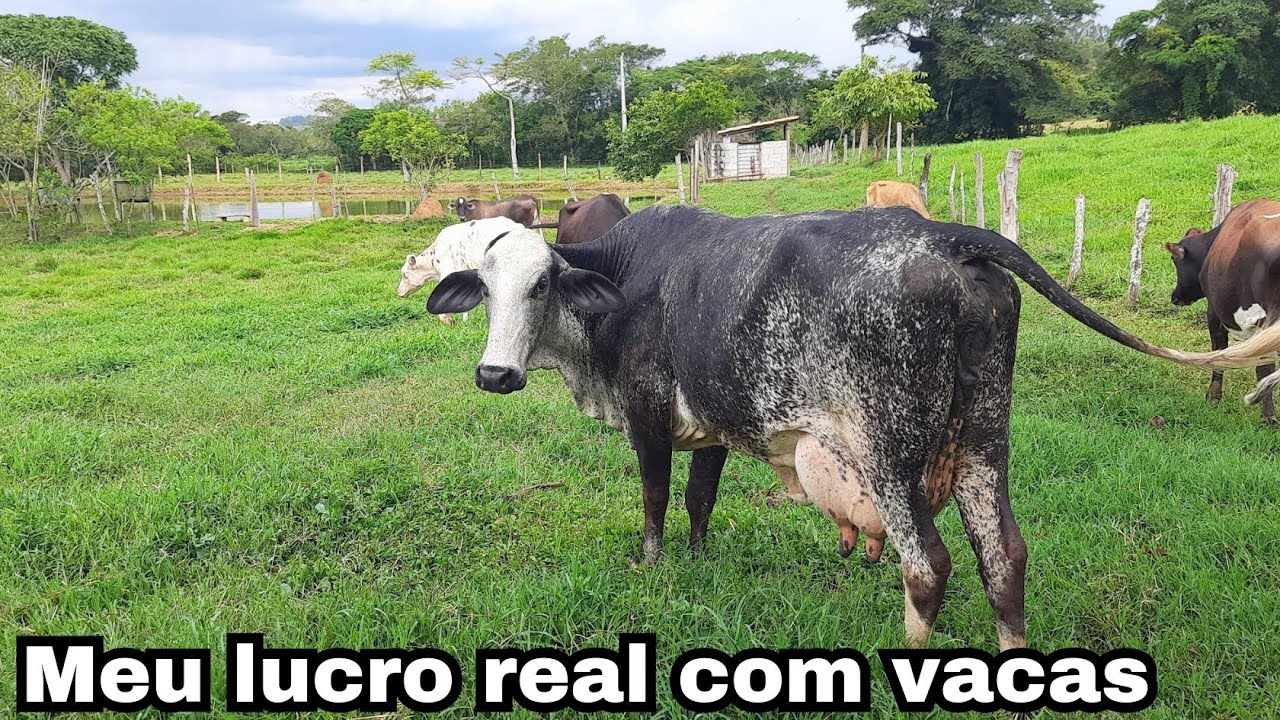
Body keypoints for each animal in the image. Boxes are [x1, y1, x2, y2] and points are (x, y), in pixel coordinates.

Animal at [1165, 199, 1280, 422]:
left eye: (1175, 261)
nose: (1175, 297)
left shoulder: (1214, 311)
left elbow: (1218, 352)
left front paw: (1213, 397)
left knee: (1264, 367)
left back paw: (1268, 416)